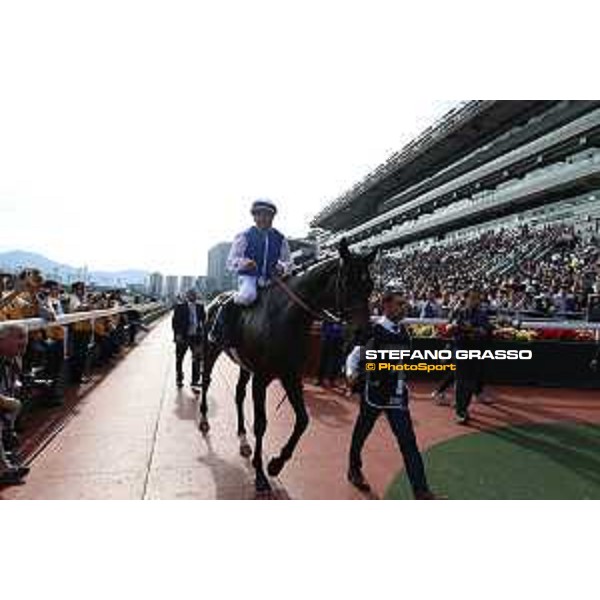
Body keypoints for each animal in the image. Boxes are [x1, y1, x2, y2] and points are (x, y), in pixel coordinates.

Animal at [199, 239, 372, 492]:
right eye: (348, 282)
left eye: (370, 286)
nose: (363, 333)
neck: (284, 317)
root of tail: (214, 300)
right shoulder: (261, 378)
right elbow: (261, 424)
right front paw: (260, 475)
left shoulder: (290, 375)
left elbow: (303, 420)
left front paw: (275, 464)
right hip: (211, 349)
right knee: (206, 381)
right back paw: (203, 420)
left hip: (244, 365)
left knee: (239, 394)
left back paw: (243, 440)